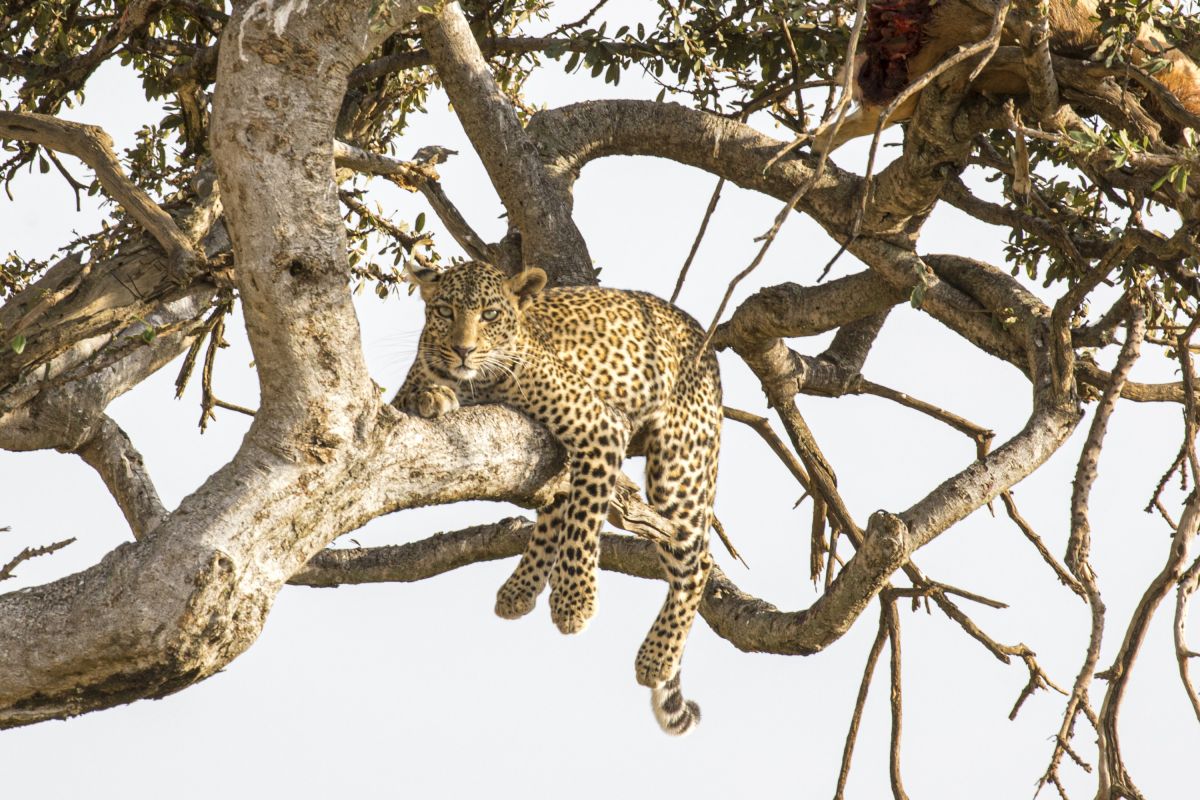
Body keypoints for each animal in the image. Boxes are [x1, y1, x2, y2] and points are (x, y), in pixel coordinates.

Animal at [392, 260, 722, 735]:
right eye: (445, 311)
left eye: (490, 314)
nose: (463, 350)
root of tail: (700, 333)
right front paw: (433, 394)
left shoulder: (601, 426)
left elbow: (585, 519)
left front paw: (575, 601)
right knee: (554, 508)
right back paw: (520, 588)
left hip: (681, 467)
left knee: (697, 561)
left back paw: (656, 656)